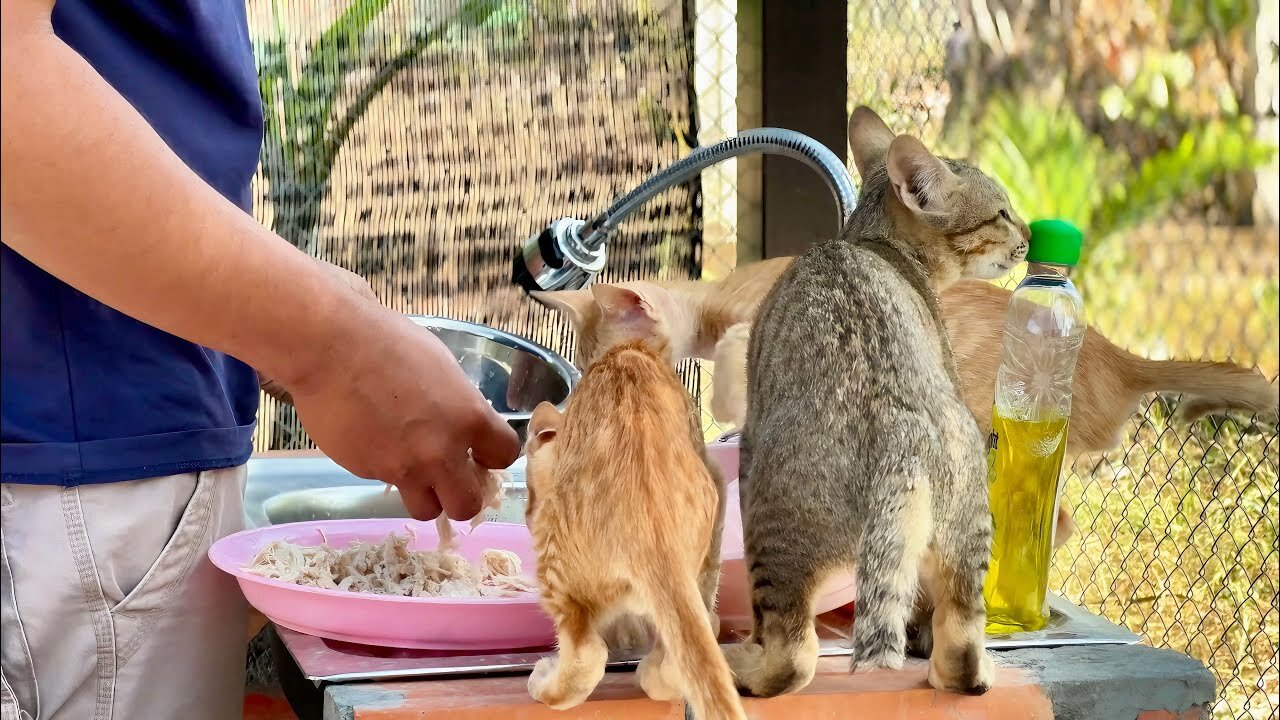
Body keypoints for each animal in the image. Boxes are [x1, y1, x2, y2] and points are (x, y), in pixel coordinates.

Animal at [519, 283, 742, 712]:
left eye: (588, 360)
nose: (528, 511)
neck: (630, 352)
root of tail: (650, 537)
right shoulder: (716, 477)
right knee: (675, 643)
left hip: (558, 571)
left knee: (593, 652)